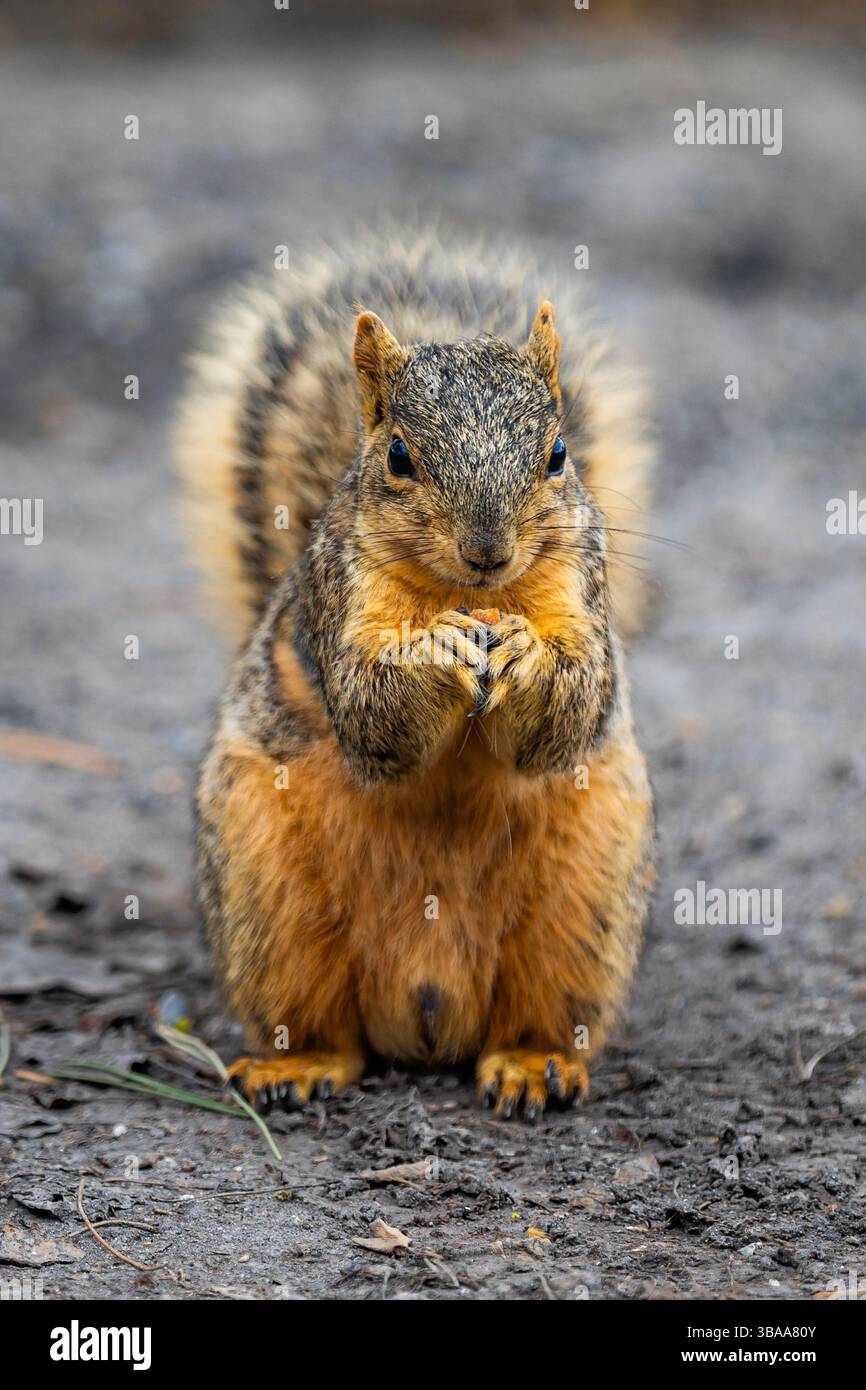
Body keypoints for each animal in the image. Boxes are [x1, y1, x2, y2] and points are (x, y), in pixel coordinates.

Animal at [174, 231, 655, 1121]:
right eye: (399, 455)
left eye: (558, 454)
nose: (488, 549)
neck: (470, 594)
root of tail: (426, 1011)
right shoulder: (337, 600)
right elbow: (370, 716)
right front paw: (433, 651)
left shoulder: (585, 594)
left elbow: (570, 711)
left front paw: (524, 655)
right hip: (266, 901)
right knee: (325, 1027)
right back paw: (298, 1066)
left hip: (587, 906)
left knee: (536, 1014)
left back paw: (532, 1065)